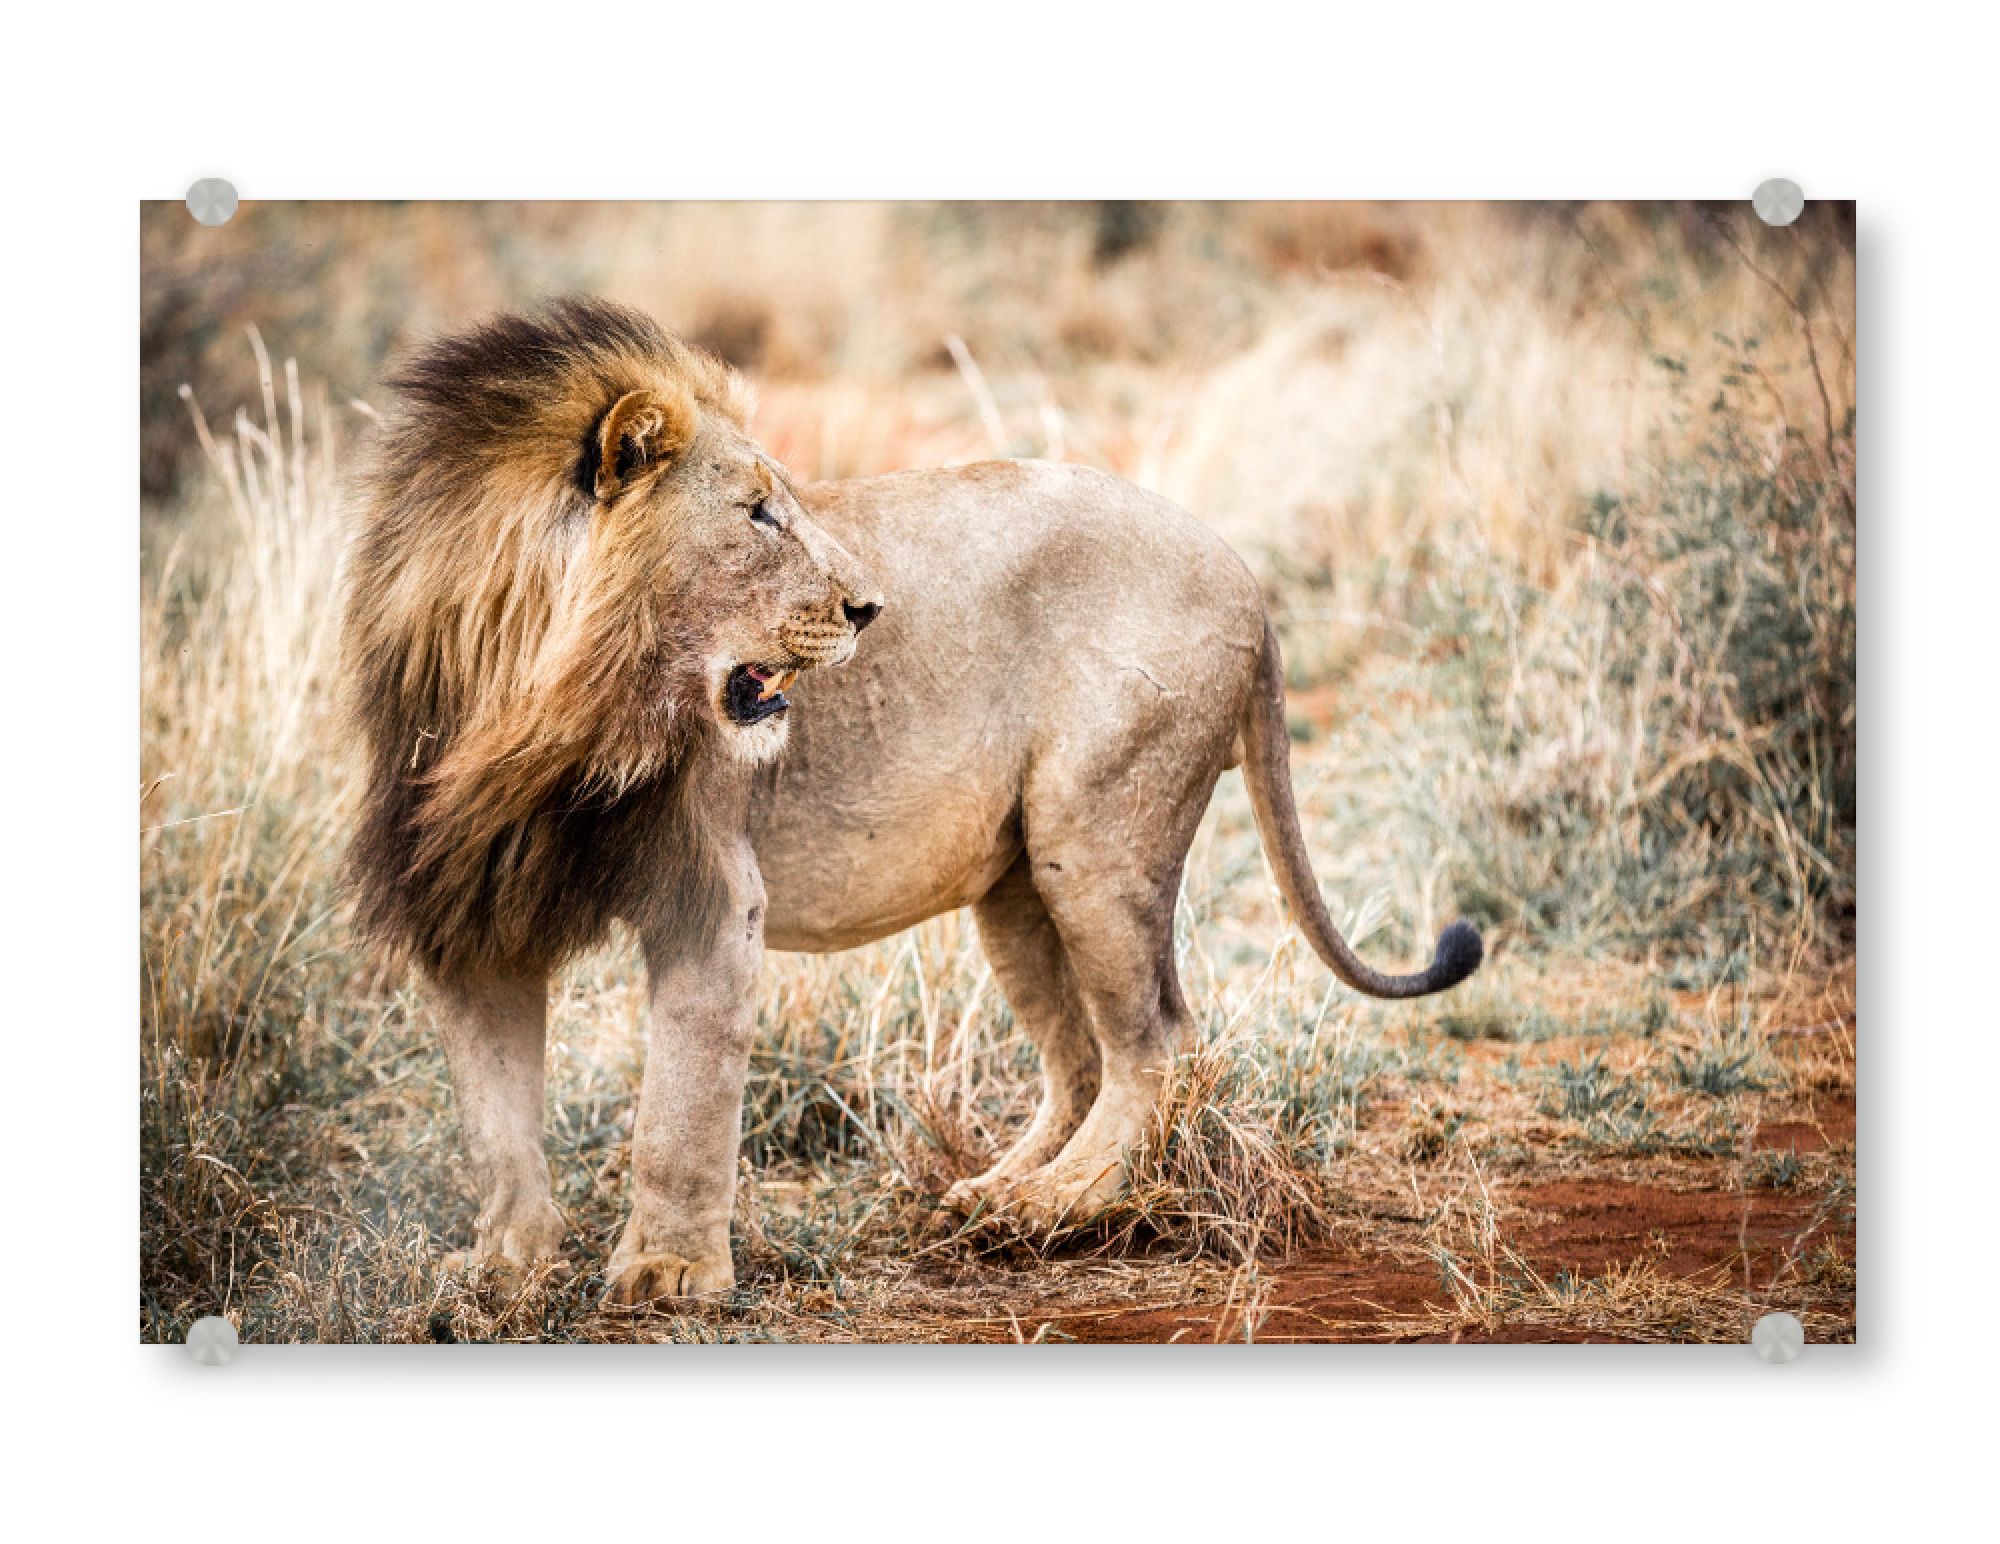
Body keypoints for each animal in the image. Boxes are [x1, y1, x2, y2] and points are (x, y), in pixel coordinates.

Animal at [342, 297, 1481, 1303]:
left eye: (784, 501)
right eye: (757, 513)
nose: (865, 608)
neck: (530, 710)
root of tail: (1244, 574)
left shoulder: (711, 899)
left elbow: (678, 1110)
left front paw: (668, 1274)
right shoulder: (467, 909)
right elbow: (495, 1127)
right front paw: (499, 1270)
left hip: (1097, 834)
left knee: (1156, 1041)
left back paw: (1061, 1204)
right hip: (1017, 886)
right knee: (1079, 1058)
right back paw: (993, 1192)